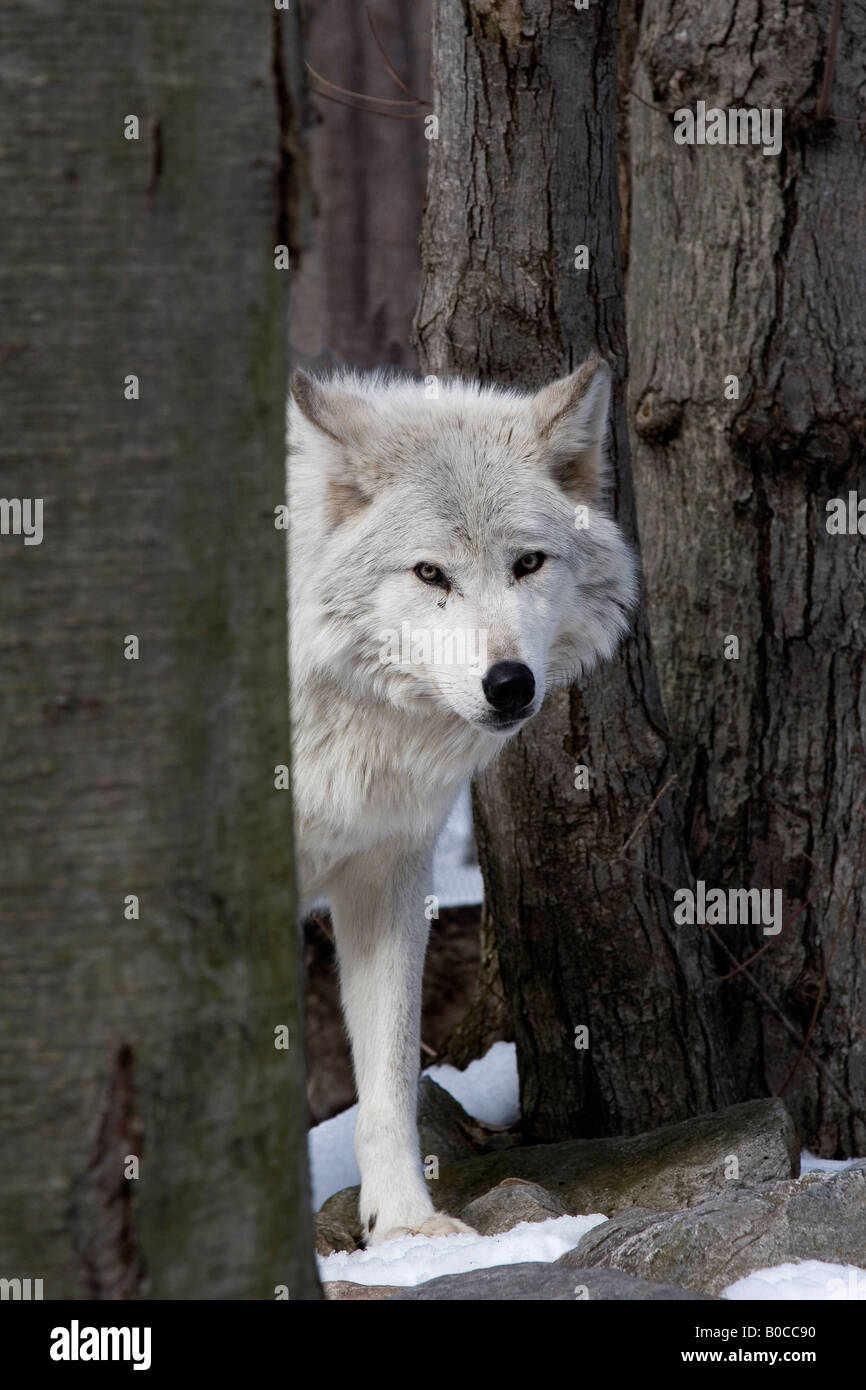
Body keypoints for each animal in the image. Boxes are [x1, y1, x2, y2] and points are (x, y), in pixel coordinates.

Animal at [287, 358, 633, 1251]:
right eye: (429, 573)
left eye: (528, 563)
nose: (509, 684)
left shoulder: (389, 875)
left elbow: (389, 1079)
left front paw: (405, 1227)